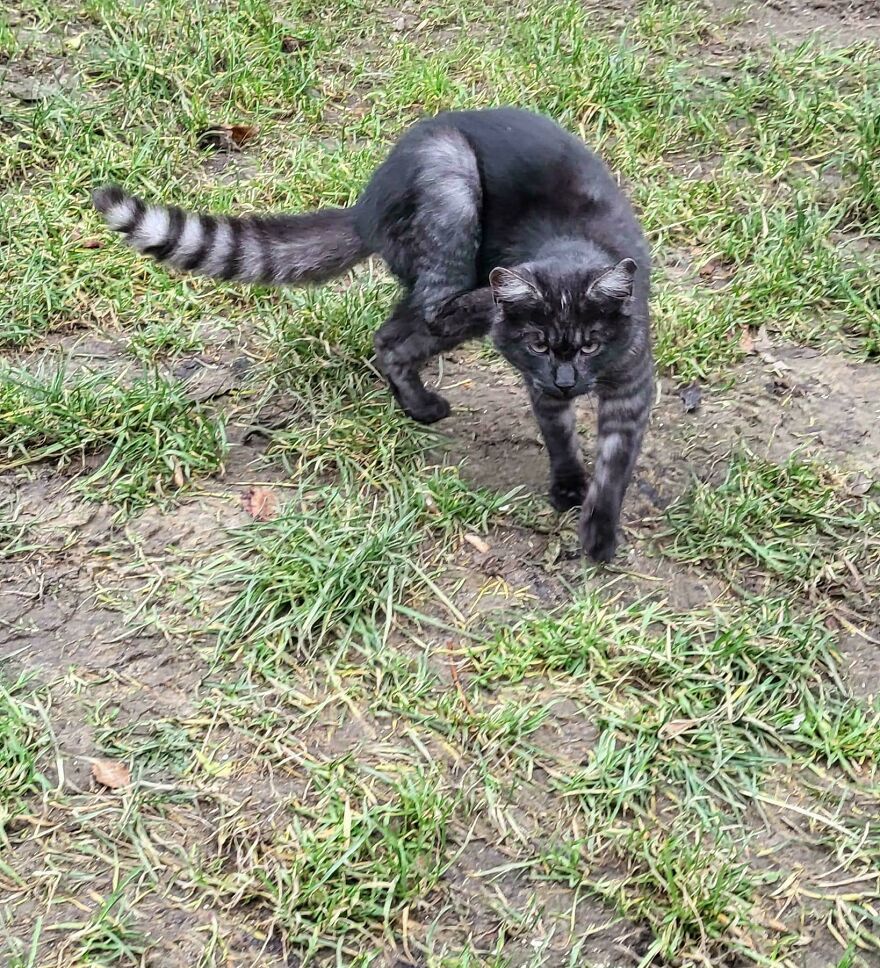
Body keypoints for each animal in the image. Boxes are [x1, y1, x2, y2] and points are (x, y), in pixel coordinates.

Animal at [91, 105, 652, 560]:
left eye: (590, 345)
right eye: (538, 344)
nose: (566, 380)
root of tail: (367, 206)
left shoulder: (631, 385)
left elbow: (615, 462)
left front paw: (599, 529)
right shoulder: (541, 383)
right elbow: (560, 437)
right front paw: (570, 490)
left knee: (392, 336)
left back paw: (418, 403)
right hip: (451, 185)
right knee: (434, 309)